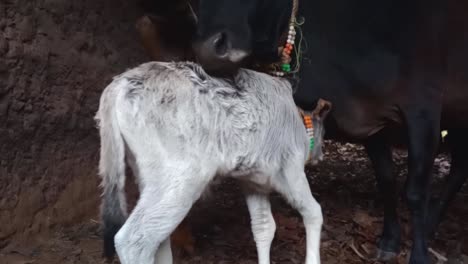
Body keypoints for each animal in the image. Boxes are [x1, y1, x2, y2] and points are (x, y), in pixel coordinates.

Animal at [95, 61, 330, 264]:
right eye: (324, 131)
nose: (320, 155)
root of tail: (119, 83)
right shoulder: (290, 168)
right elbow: (313, 211)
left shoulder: (253, 181)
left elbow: (263, 226)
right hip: (181, 179)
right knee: (133, 239)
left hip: (149, 176)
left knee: (157, 237)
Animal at [189, 0, 468, 264]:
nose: (211, 50)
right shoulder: (372, 122)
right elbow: (386, 180)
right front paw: (389, 241)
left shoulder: (423, 111)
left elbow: (415, 192)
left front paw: (419, 254)